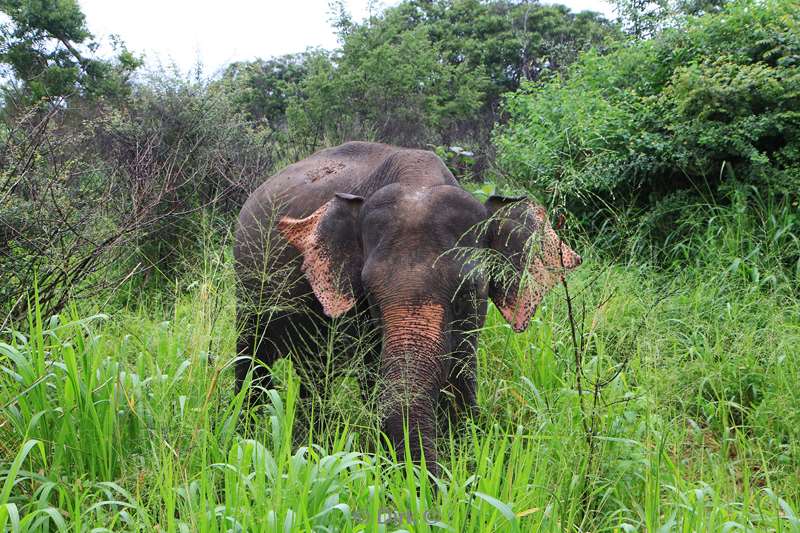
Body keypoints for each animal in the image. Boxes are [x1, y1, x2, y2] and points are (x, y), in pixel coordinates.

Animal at [231, 141, 580, 474]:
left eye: (468, 292)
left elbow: (464, 373)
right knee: (253, 358)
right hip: (248, 287)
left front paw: (466, 453)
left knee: (313, 374)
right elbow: (375, 378)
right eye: (370, 296)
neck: (419, 180)